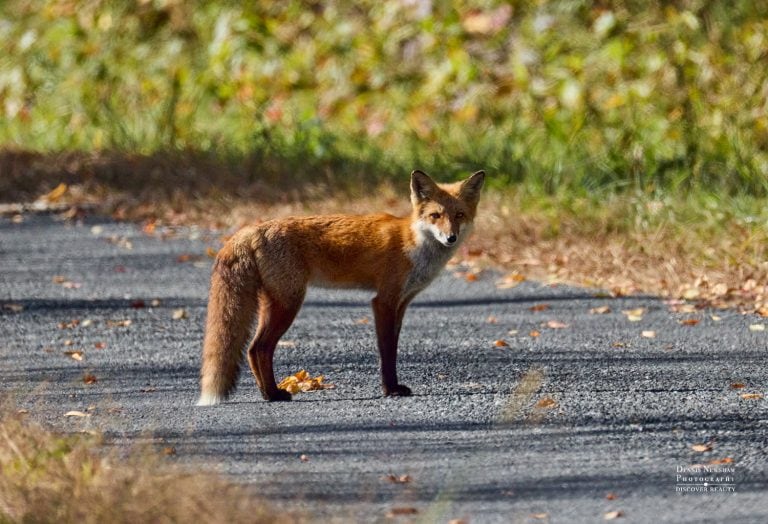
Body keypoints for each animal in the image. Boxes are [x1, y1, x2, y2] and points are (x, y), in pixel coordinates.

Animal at [197, 169, 485, 405]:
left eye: (459, 215)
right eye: (436, 216)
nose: (451, 238)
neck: (414, 243)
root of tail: (252, 229)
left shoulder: (401, 303)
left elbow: (393, 346)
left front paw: (391, 387)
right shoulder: (384, 301)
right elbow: (387, 352)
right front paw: (390, 389)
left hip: (278, 302)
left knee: (252, 350)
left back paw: (267, 393)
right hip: (288, 303)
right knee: (258, 348)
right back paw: (273, 394)